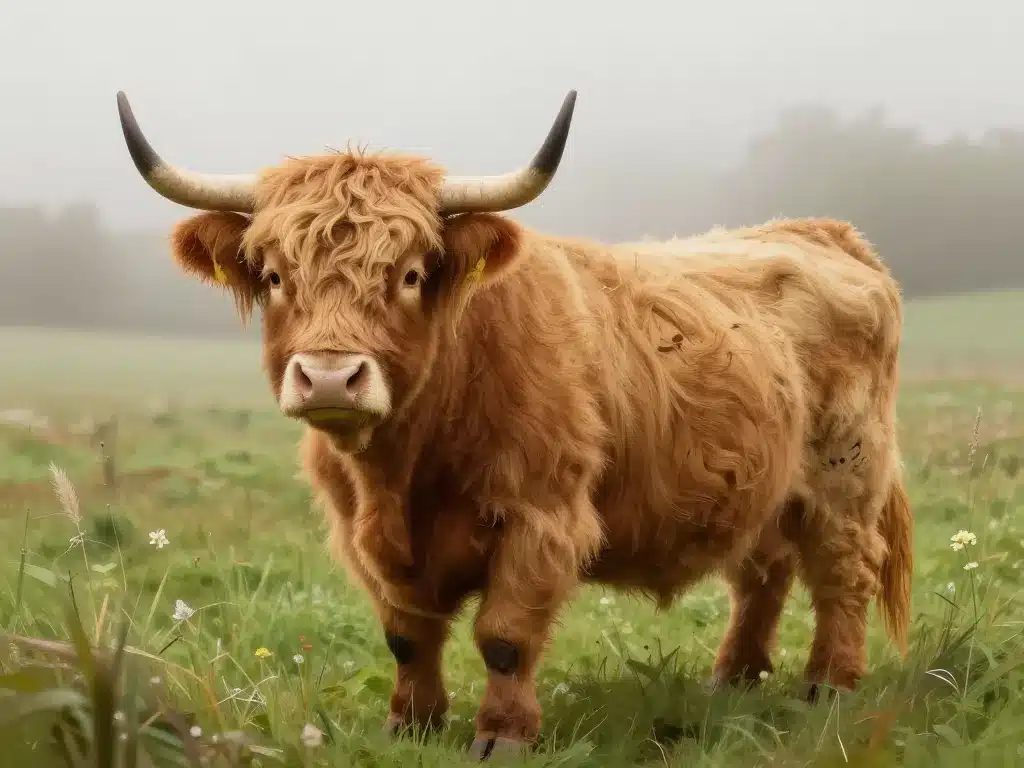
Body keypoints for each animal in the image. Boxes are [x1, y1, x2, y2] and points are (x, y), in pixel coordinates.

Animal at [114, 89, 913, 760]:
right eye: (277, 276)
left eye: (410, 274)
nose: (332, 377)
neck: (406, 469)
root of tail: (821, 231)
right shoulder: (365, 537)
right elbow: (407, 635)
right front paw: (412, 725)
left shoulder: (541, 517)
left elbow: (503, 636)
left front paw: (502, 736)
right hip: (763, 485)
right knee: (763, 573)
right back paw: (735, 678)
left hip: (846, 473)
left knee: (843, 570)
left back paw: (829, 686)